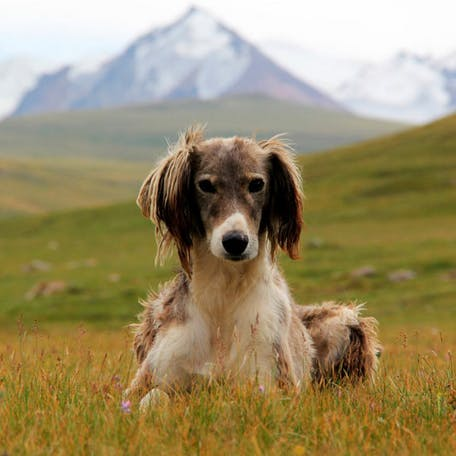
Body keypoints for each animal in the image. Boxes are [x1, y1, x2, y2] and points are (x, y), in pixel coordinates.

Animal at [128, 126, 380, 405]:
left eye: (257, 184)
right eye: (205, 185)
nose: (235, 242)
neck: (224, 296)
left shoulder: (274, 384)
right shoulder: (149, 377)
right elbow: (152, 397)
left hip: (345, 321)